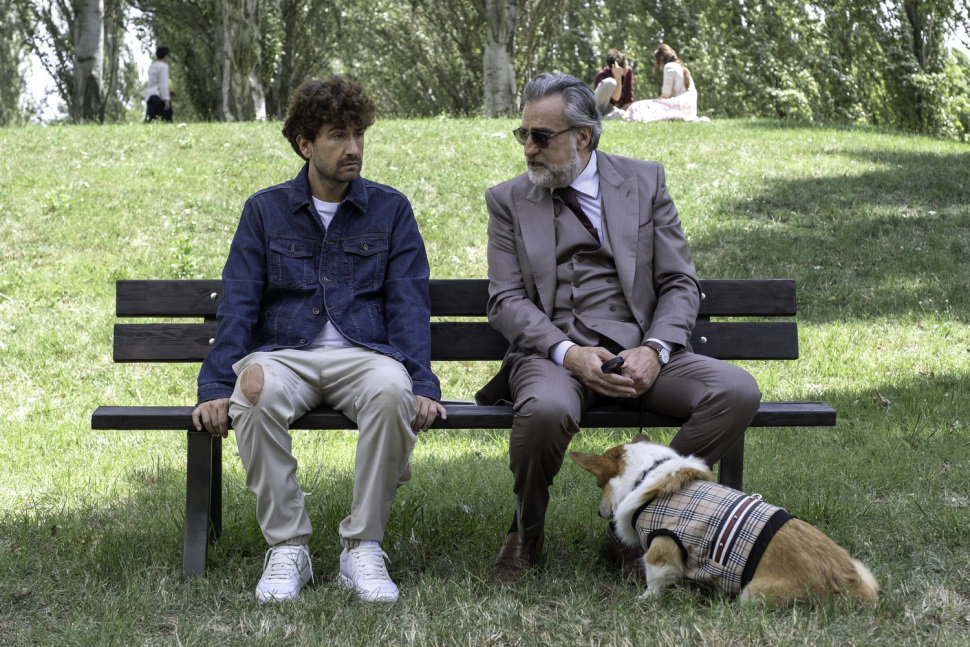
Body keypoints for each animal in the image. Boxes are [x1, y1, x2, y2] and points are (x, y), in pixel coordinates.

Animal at [570, 435, 879, 605]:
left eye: (598, 485)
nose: (600, 513)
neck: (647, 472)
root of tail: (848, 585)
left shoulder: (662, 547)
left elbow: (656, 579)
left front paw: (644, 599)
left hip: (751, 594)